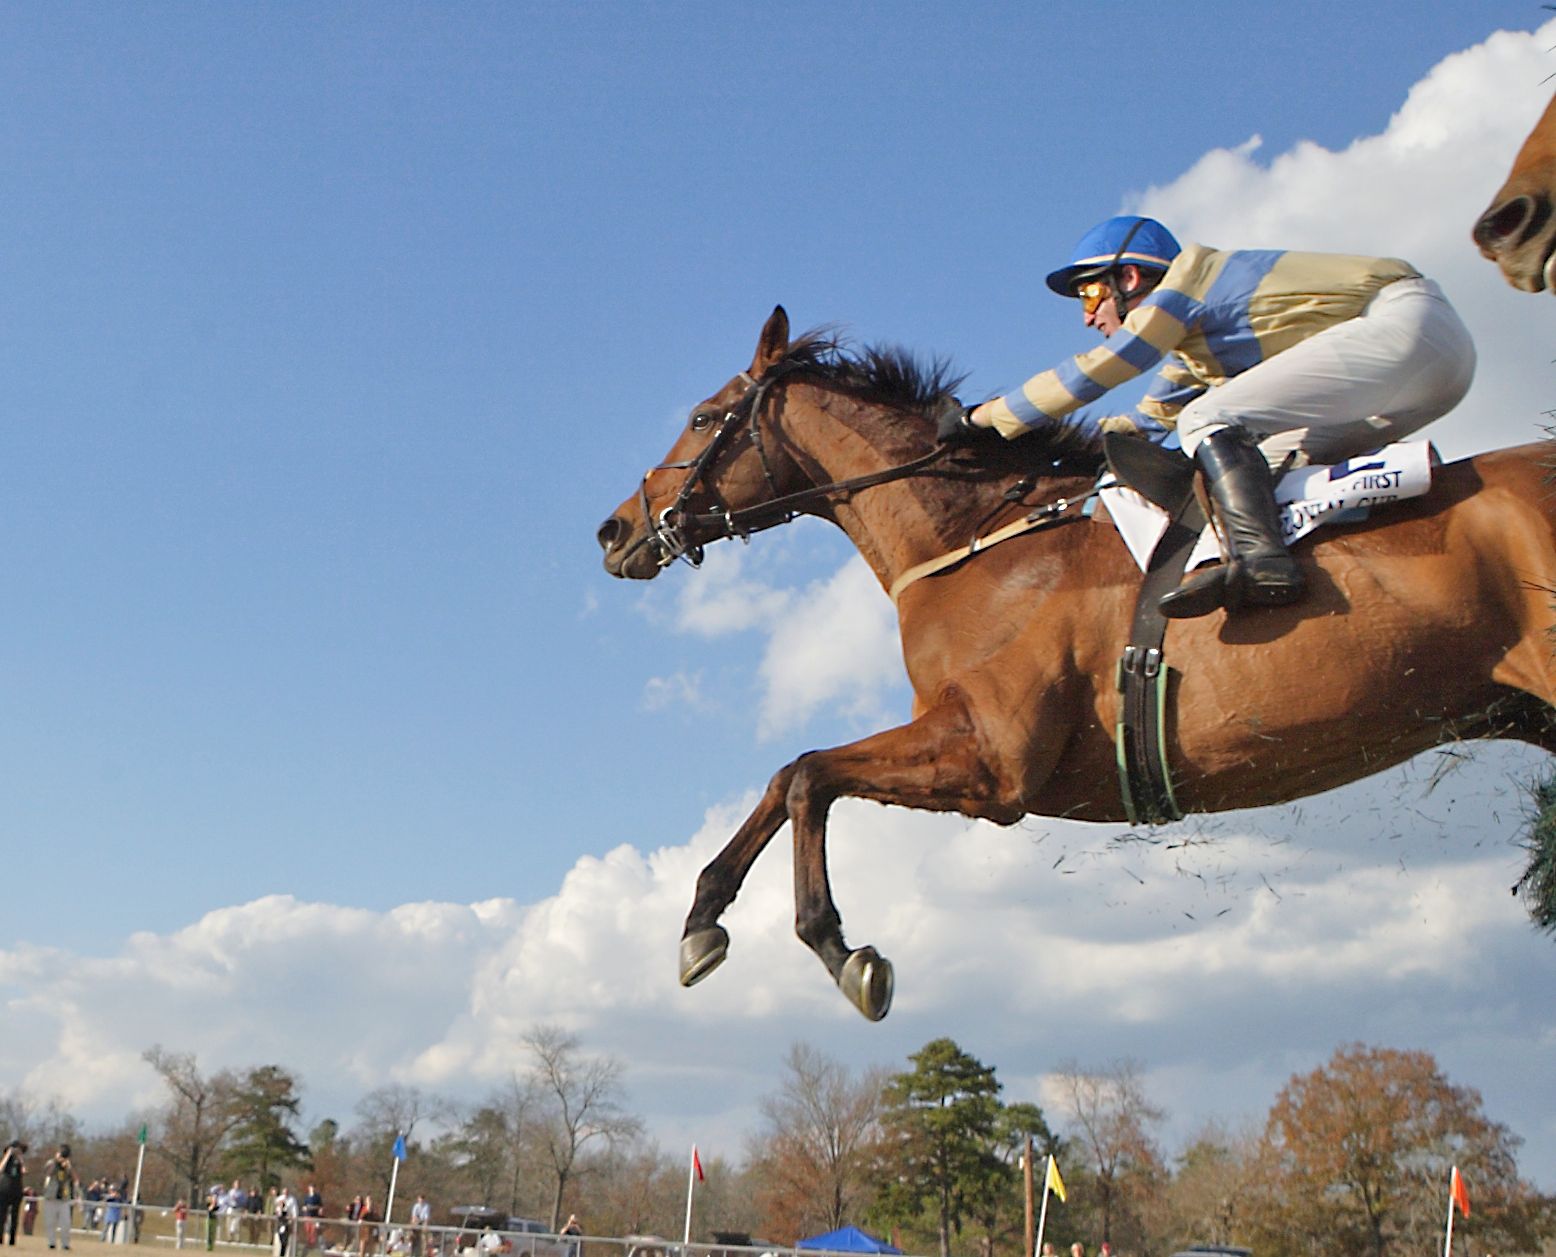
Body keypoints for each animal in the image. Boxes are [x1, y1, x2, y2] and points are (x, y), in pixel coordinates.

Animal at [594, 306, 1556, 1020]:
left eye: (703, 418)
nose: (615, 530)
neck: (975, 540)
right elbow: (787, 774)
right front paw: (702, 919)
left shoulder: (995, 761)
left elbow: (806, 774)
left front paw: (840, 948)